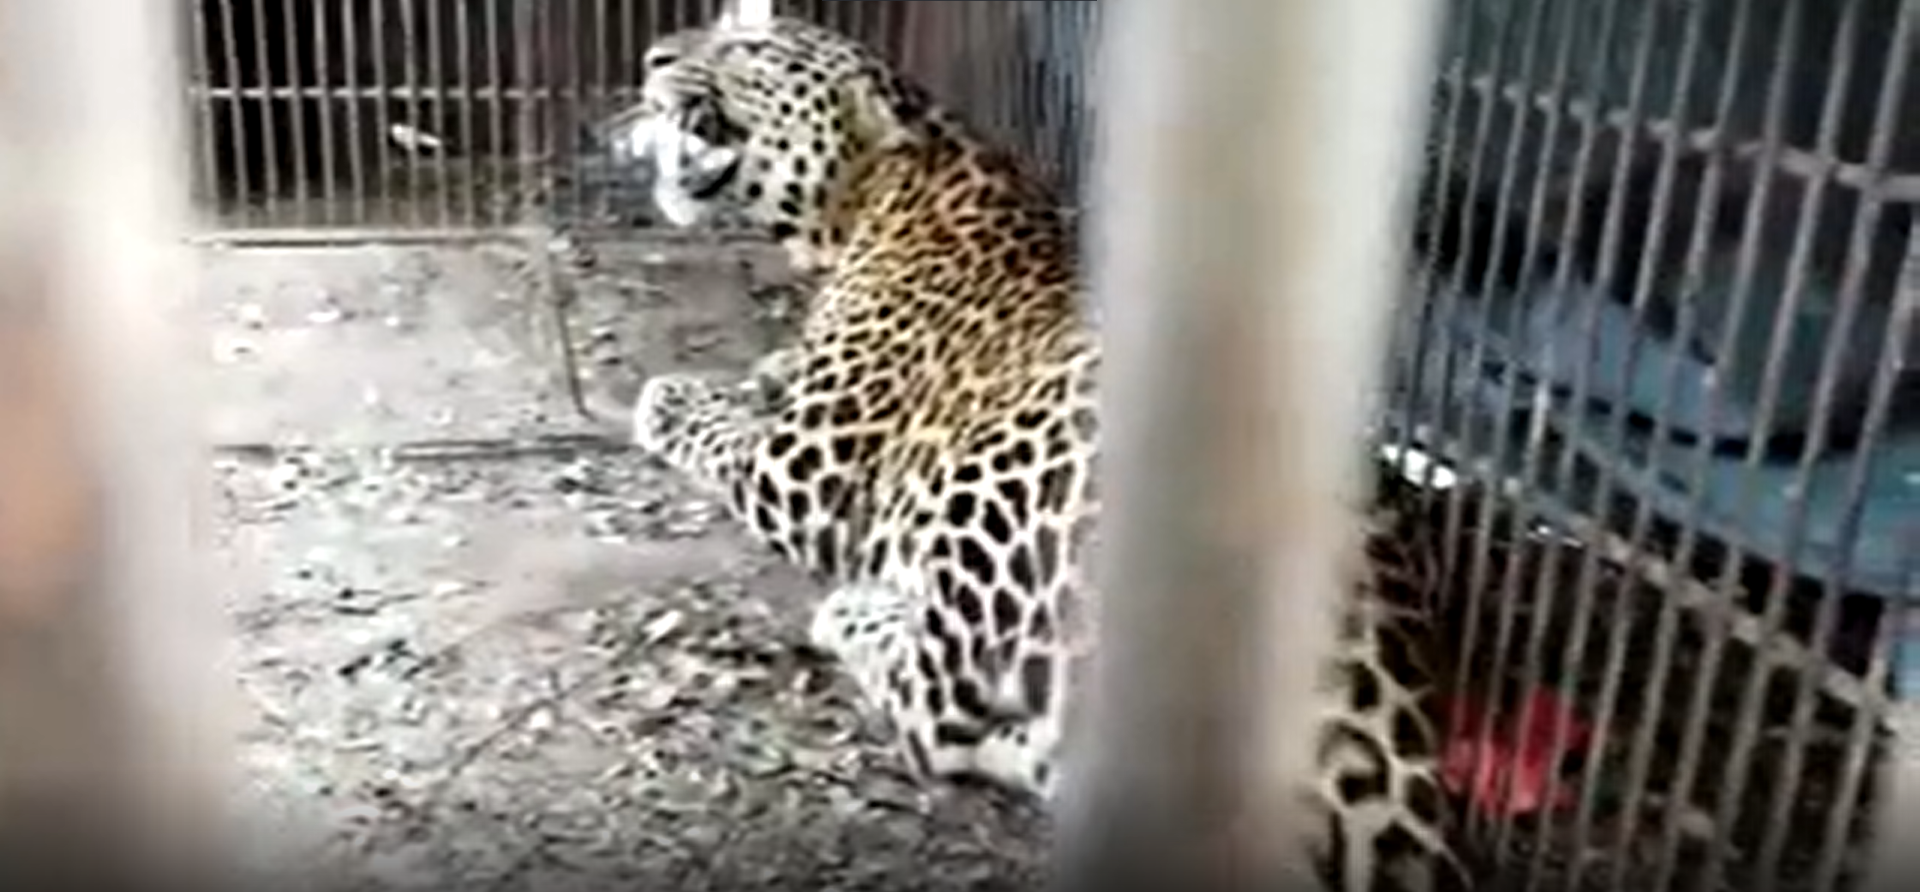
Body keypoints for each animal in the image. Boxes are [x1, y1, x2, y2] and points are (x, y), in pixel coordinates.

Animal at [606, 13, 1474, 890]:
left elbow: (709, 425)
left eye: (754, 51)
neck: (868, 199)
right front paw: (766, 370)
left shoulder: (804, 469)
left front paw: (674, 395)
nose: (651, 56)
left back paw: (858, 611)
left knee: (936, 709)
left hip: (1002, 481)